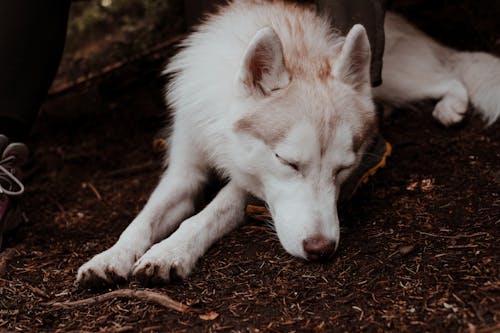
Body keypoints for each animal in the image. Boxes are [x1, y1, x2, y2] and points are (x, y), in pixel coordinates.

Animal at [76, 0, 498, 286]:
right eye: (288, 162)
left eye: (343, 169)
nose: (321, 250)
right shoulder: (183, 172)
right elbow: (142, 219)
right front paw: (111, 257)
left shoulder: (245, 184)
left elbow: (206, 215)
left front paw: (169, 251)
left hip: (393, 78)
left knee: (450, 77)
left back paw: (450, 108)